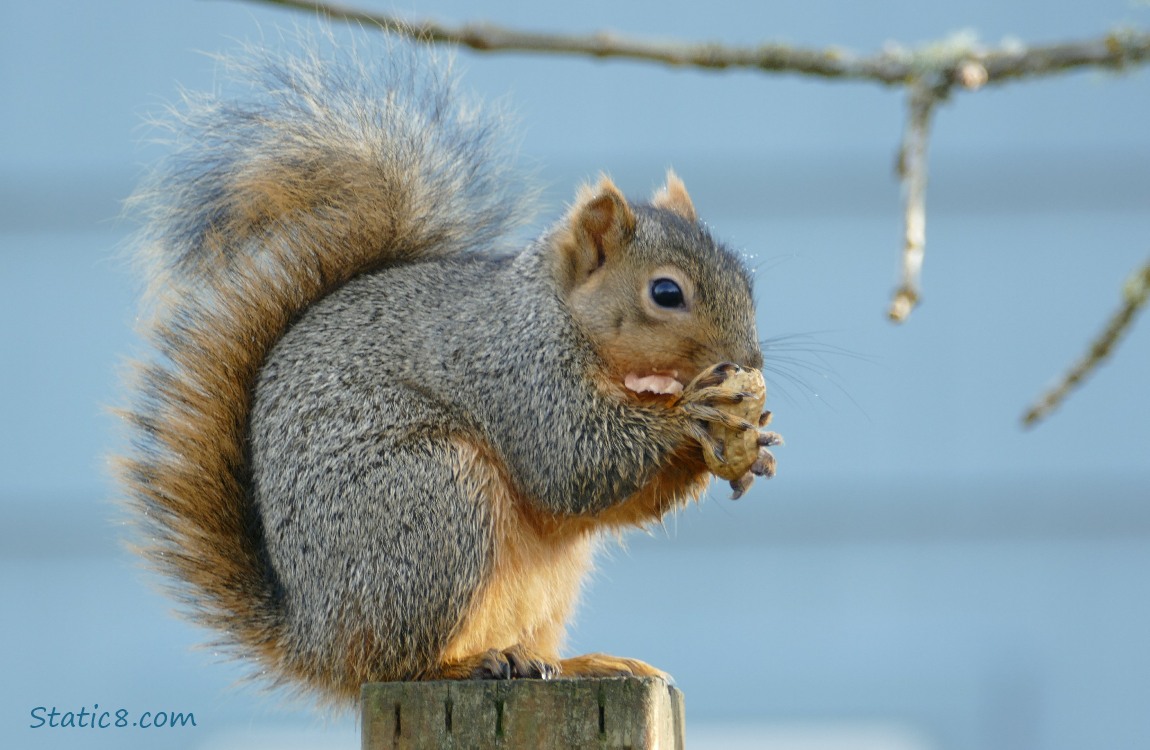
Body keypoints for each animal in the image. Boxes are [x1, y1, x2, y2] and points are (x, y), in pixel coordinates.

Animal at [116, 36, 781, 707]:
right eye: (666, 293)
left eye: (746, 280)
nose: (749, 363)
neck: (558, 310)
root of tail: (314, 638)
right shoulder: (518, 372)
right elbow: (573, 462)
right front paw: (693, 415)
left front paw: (755, 443)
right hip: (432, 506)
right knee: (395, 662)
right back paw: (466, 665)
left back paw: (580, 663)